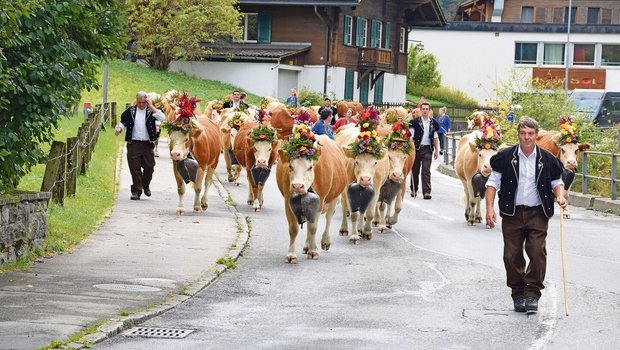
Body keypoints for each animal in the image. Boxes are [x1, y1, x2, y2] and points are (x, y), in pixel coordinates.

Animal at [276, 134, 348, 262]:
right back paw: (307, 245)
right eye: (290, 166)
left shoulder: (320, 202)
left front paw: (313, 251)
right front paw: (291, 254)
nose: (297, 186)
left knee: (328, 217)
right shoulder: (288, 201)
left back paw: (324, 241)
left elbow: (313, 227)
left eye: (310, 167)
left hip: (334, 196)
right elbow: (293, 229)